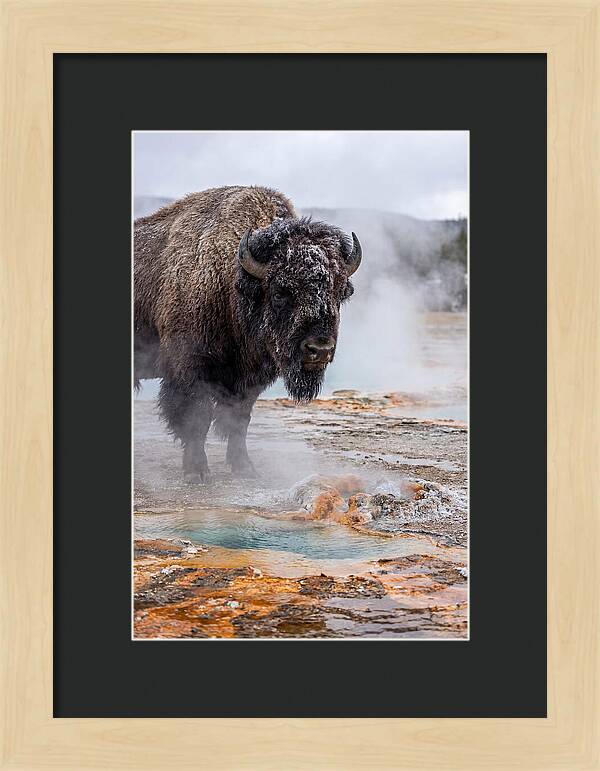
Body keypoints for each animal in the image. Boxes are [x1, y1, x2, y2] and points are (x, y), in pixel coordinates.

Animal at [134, 185, 362, 482]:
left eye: (338, 292)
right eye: (279, 292)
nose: (319, 349)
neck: (231, 282)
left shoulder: (249, 380)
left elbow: (239, 421)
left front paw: (245, 468)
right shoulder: (189, 370)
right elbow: (197, 419)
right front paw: (197, 472)